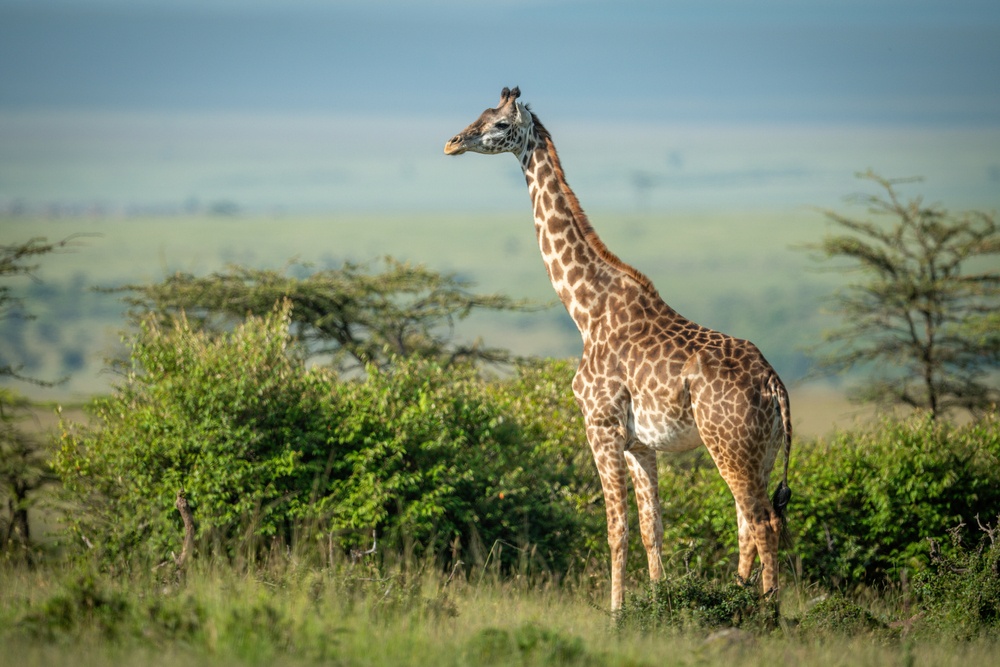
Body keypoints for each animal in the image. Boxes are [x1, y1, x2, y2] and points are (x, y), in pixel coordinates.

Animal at [444, 87, 788, 612]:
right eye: (480, 114)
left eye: (500, 124)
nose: (453, 142)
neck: (586, 310)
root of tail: (774, 383)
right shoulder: (639, 444)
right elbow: (651, 529)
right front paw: (661, 603)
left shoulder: (600, 426)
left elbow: (615, 529)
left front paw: (616, 613)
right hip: (759, 452)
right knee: (748, 522)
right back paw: (740, 598)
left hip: (729, 444)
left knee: (763, 522)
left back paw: (767, 612)